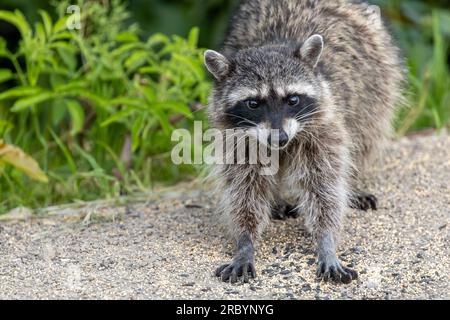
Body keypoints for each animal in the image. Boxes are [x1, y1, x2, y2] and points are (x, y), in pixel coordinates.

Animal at [204, 0, 404, 284]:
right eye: (253, 103)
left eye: (293, 99)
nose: (279, 138)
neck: (273, 44)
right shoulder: (237, 138)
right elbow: (245, 190)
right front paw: (244, 241)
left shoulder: (324, 126)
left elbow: (324, 188)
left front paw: (327, 241)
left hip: (378, 80)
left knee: (366, 133)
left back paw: (354, 181)